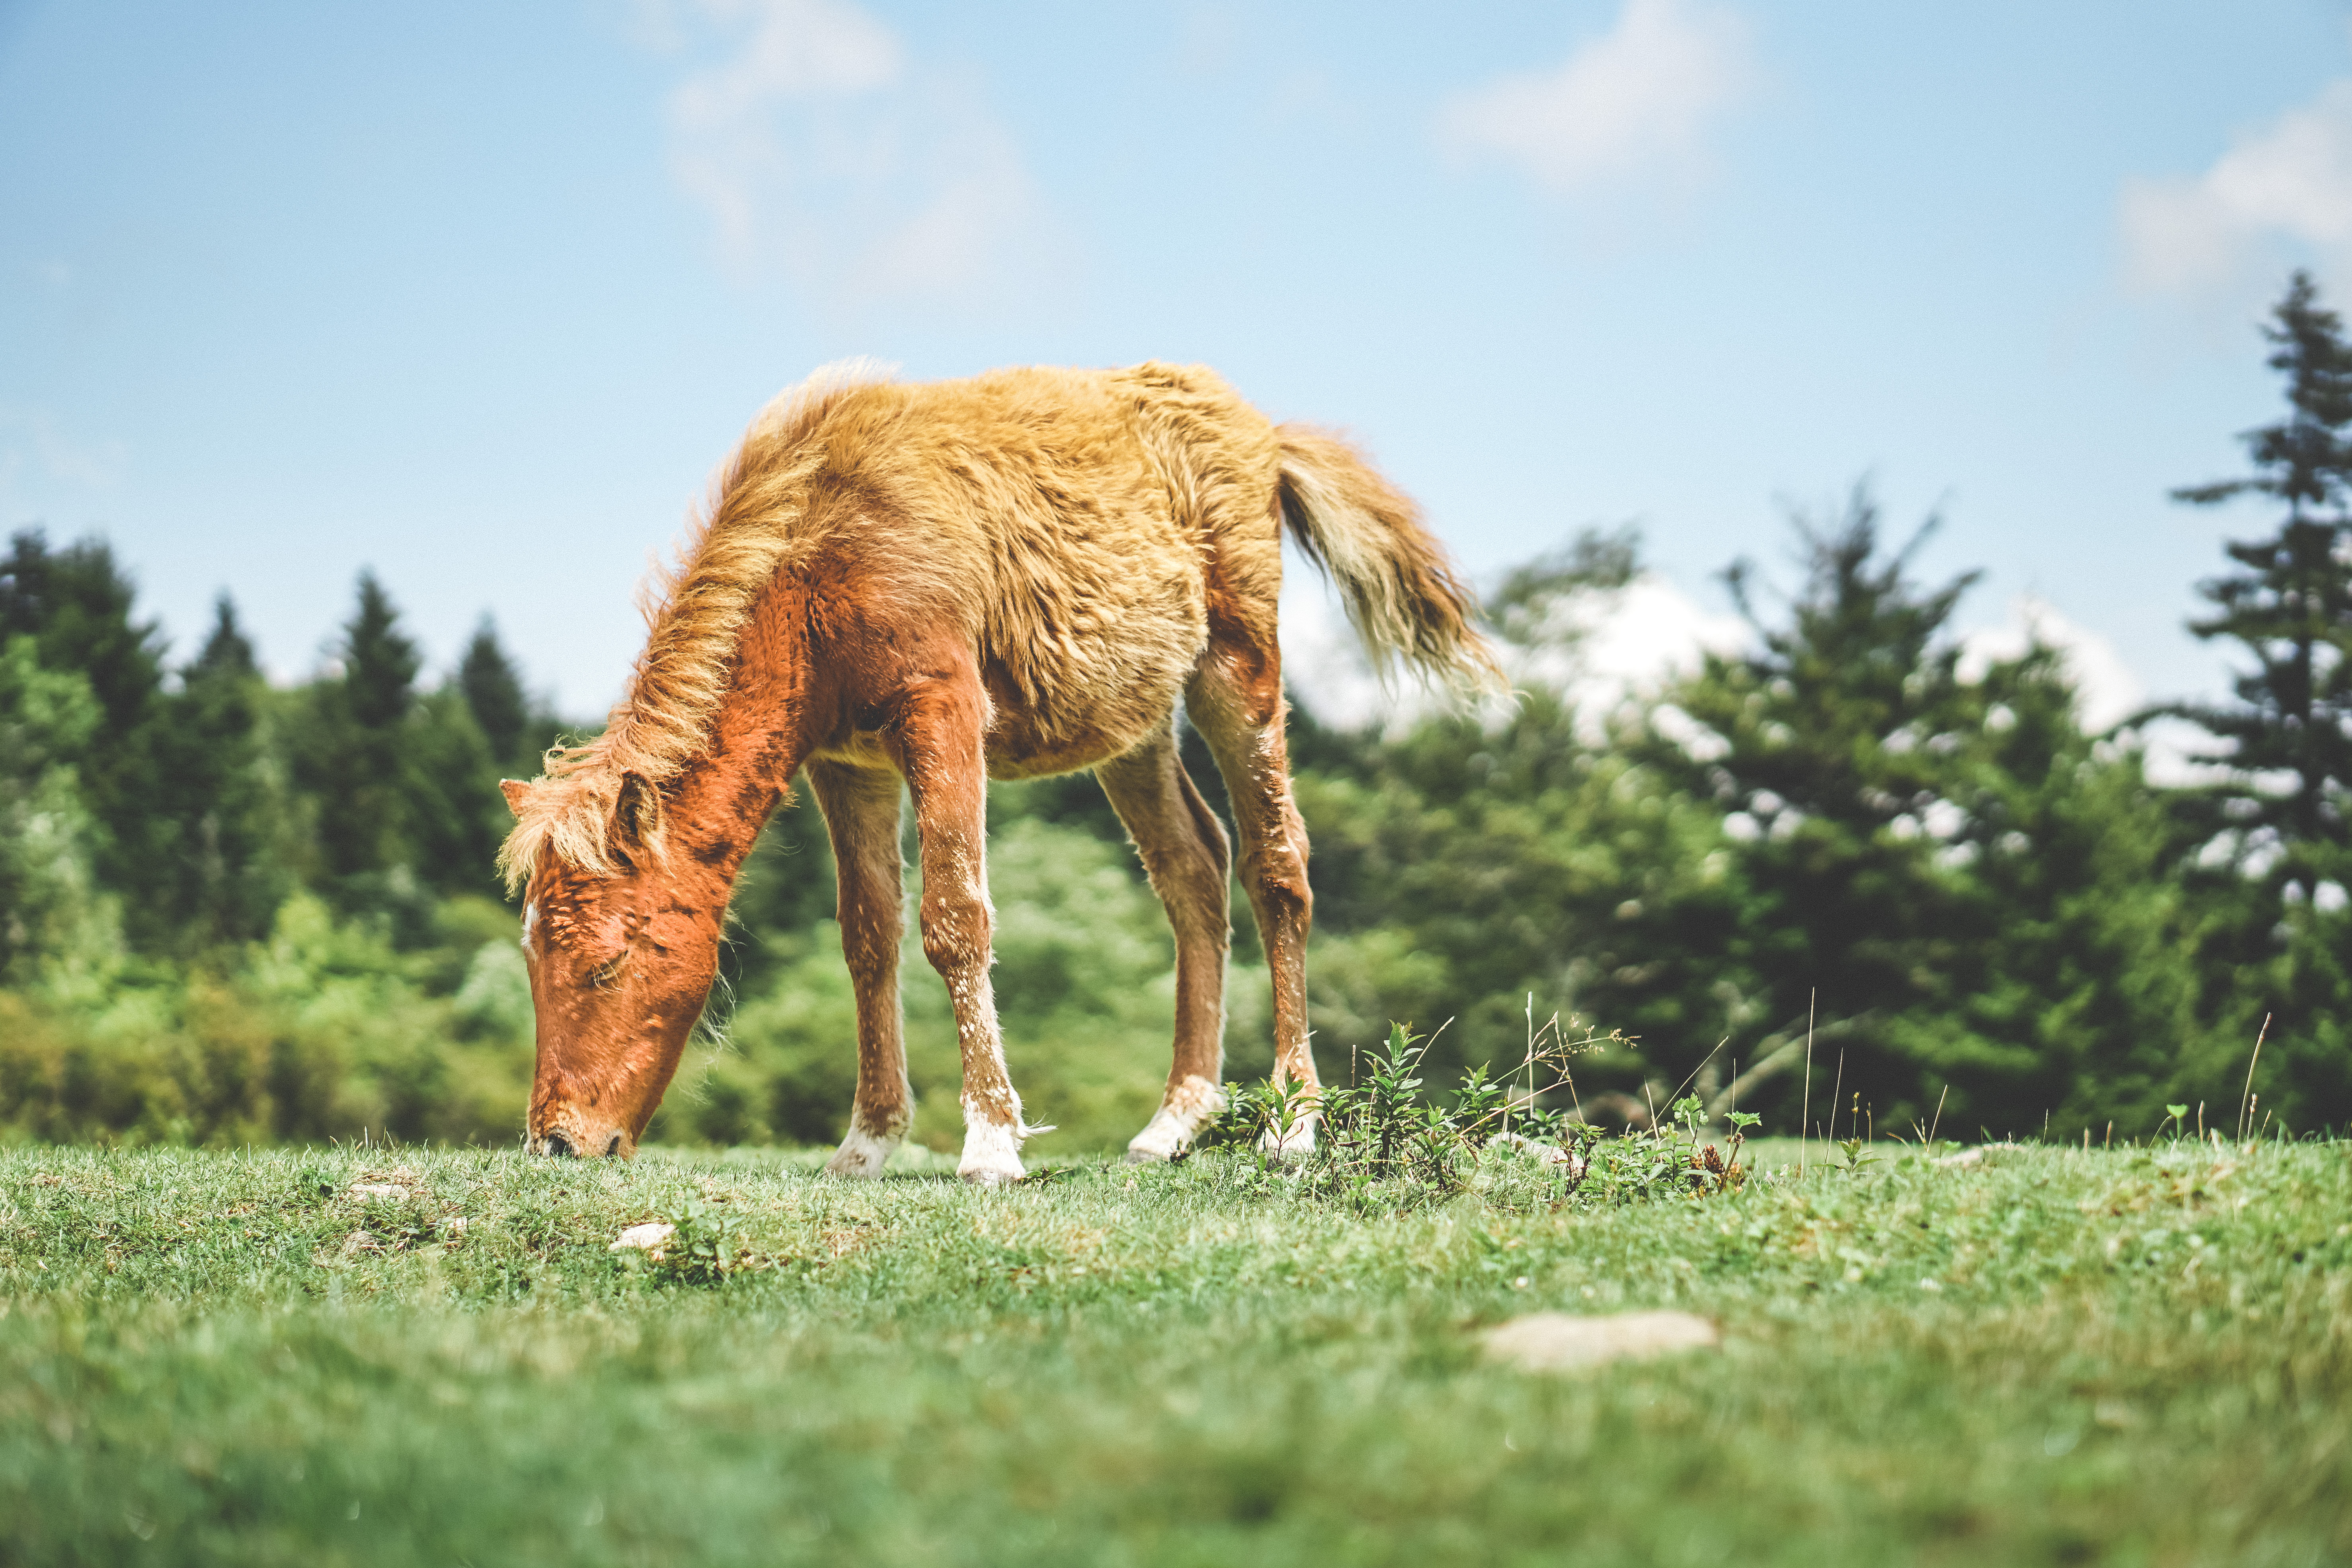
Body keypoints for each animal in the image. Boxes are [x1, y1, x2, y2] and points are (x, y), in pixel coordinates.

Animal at [496, 359, 1500, 1183]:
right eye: (534, 959)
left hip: (1238, 667)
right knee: (1194, 868)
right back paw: (1173, 1121)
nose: (558, 1142)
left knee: (1275, 864)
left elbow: (953, 917)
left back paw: (1291, 1122)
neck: (823, 554)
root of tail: (1262, 434)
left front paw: (991, 1142)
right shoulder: (846, 762)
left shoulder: (942, 711)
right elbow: (869, 936)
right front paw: (867, 1141)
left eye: (607, 964)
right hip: (1132, 725)